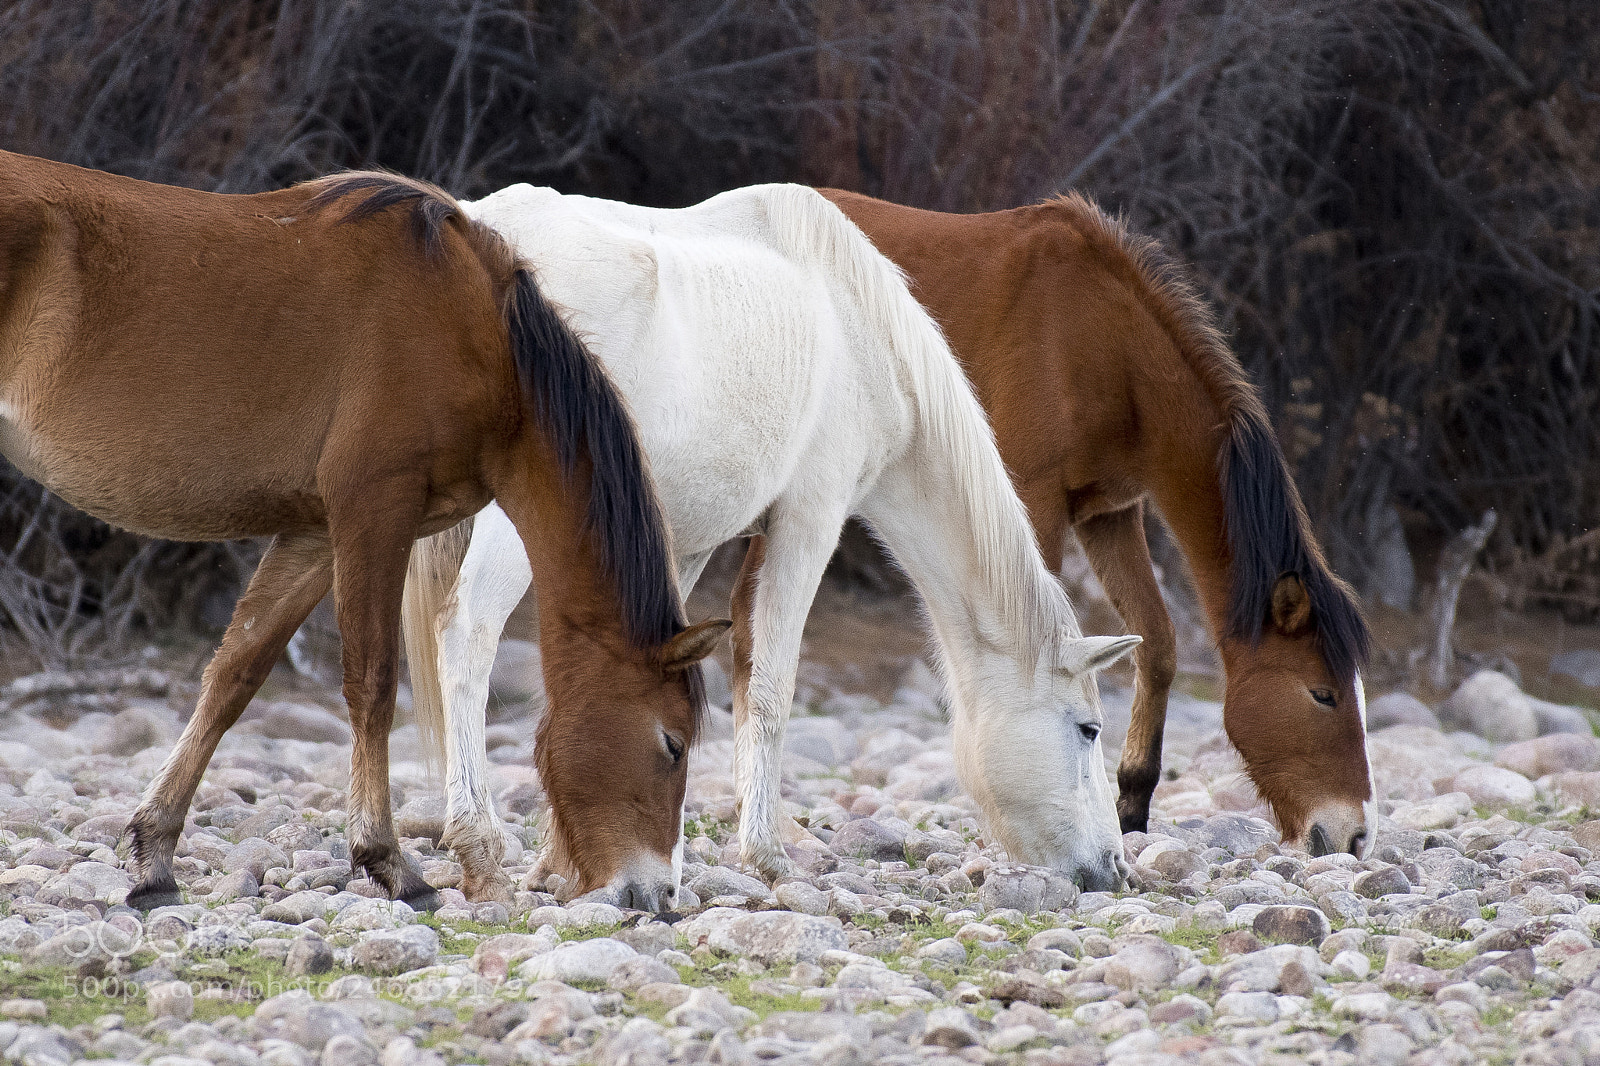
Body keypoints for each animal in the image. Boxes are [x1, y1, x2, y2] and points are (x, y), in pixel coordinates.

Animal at [0, 151, 723, 912]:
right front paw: (388, 861)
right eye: (672, 744)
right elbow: (372, 684)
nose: (656, 895)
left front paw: (154, 850)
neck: (477, 334)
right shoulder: (374, 513)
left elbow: (235, 673)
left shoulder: (317, 533)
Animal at [401, 182, 1141, 905]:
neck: (858, 332)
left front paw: (572, 863)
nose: (1114, 867)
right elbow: (770, 686)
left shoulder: (686, 542)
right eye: (1089, 729)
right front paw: (768, 858)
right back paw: (477, 846)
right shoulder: (809, 522)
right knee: (467, 632)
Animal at [801, 189, 1375, 857]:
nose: (1356, 836)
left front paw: (1131, 806)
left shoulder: (1109, 514)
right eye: (1322, 694)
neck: (1105, 347)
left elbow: (1158, 644)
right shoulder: (1033, 501)